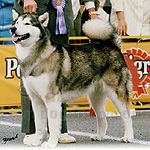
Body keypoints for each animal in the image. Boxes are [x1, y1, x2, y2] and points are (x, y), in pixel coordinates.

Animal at [11, 9, 134, 148]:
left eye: (27, 23)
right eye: (16, 22)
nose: (12, 28)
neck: (36, 57)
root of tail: (113, 46)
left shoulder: (52, 99)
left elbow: (52, 125)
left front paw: (51, 143)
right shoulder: (36, 100)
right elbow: (39, 125)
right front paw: (37, 140)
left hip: (117, 94)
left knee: (127, 116)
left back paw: (128, 137)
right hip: (95, 98)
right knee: (102, 117)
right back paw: (99, 136)